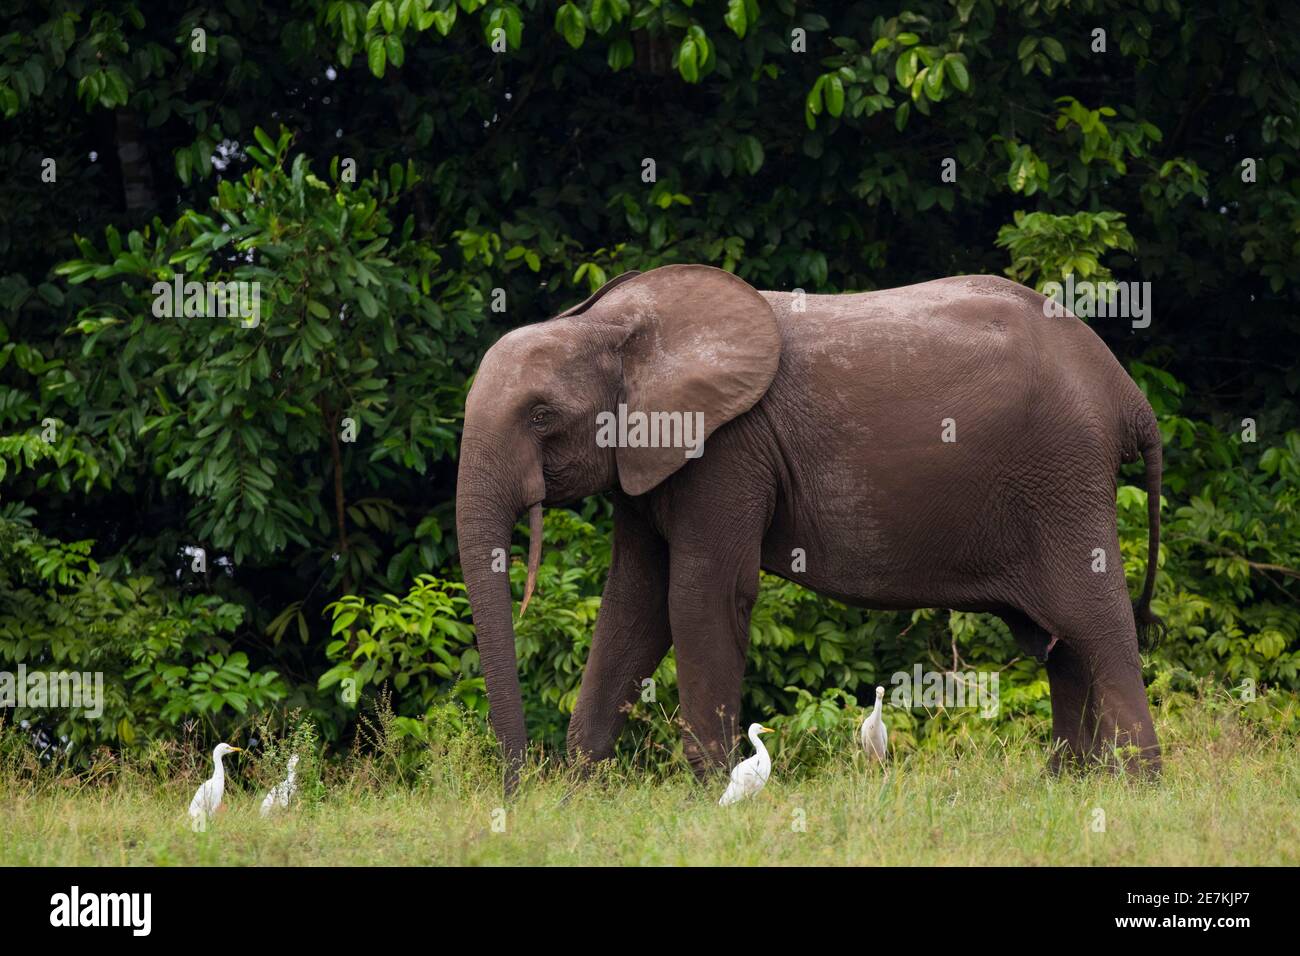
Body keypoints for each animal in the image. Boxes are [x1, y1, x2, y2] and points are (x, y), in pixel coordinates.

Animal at [457, 265, 1170, 790]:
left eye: (541, 416)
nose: (516, 789)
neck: (608, 325)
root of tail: (1128, 396)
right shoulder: (652, 457)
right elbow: (634, 606)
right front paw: (578, 794)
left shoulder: (728, 448)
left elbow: (702, 595)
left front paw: (708, 791)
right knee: (1062, 641)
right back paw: (1069, 785)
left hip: (1064, 475)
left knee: (1093, 620)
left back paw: (1135, 788)